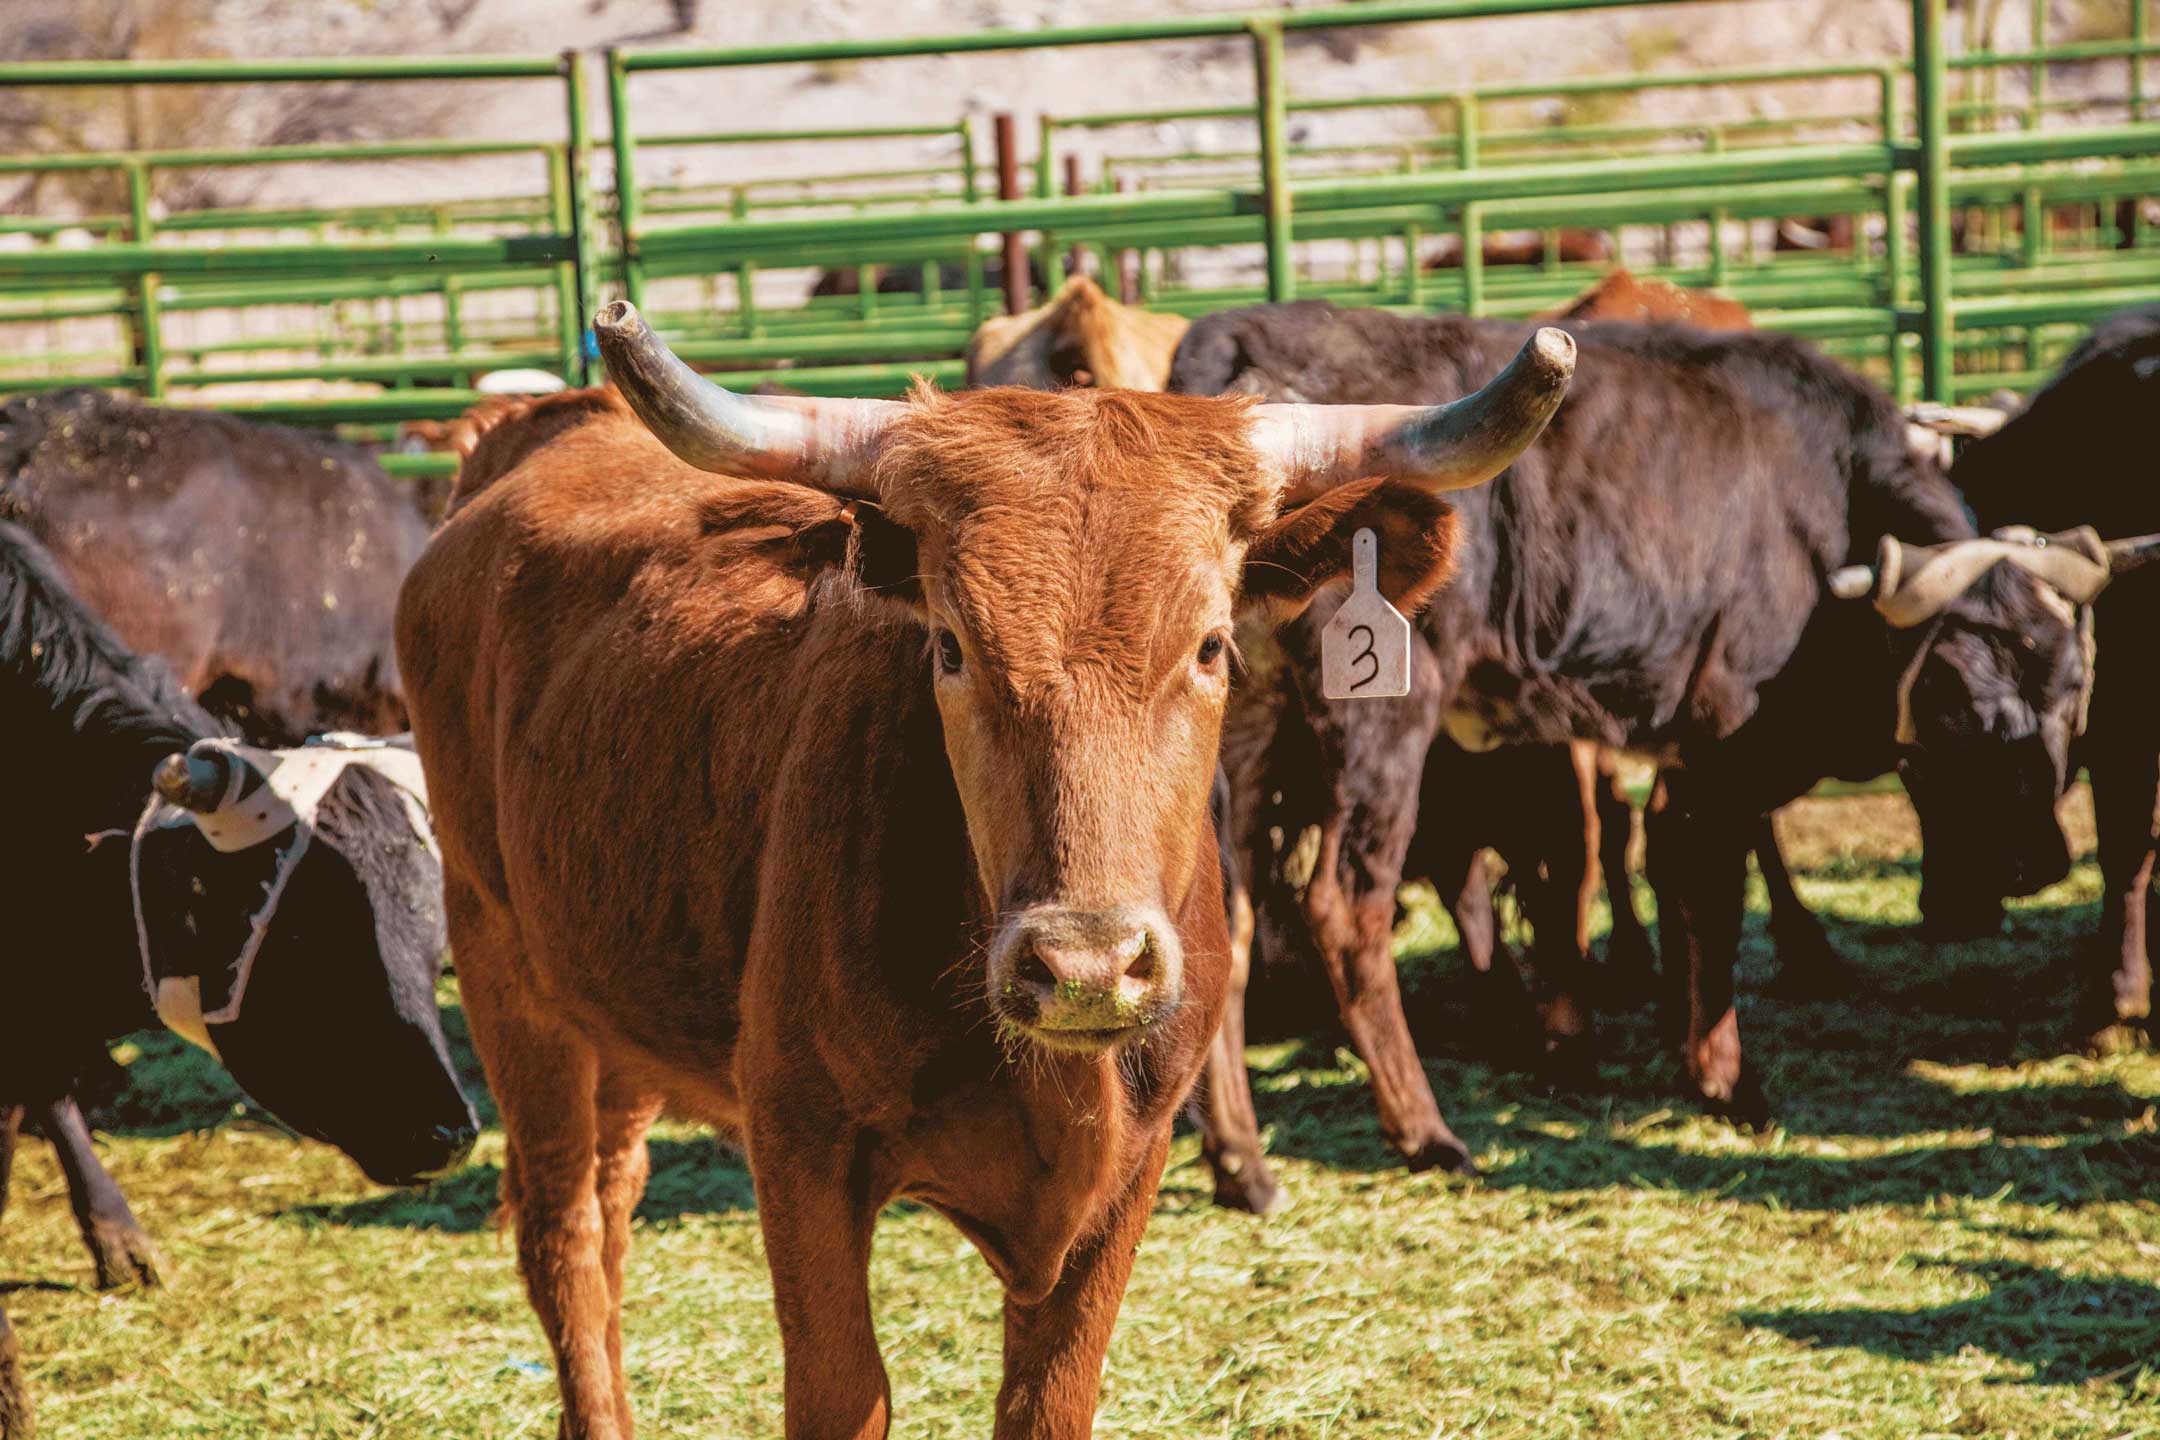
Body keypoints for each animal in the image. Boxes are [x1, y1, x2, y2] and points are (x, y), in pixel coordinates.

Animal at [388, 306, 1572, 1440]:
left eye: (1210, 646)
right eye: (951, 647)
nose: (1088, 966)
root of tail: (536, 434)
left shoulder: (1128, 1176)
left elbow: (1048, 1403)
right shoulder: (801, 1152)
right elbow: (844, 1394)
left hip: (617, 991)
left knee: (611, 1202)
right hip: (503, 970)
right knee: (562, 1234)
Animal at [1175, 302, 2099, 1183]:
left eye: (2071, 691)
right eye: (1962, 698)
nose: (2042, 864)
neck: (1822, 509)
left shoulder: (1686, 758)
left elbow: (1681, 886)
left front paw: (1691, 1058)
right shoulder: (1724, 746)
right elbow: (1716, 900)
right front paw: (1731, 1082)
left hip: (1246, 736)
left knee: (1229, 921)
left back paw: (1243, 1163)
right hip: (1380, 723)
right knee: (1346, 910)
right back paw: (1425, 1133)